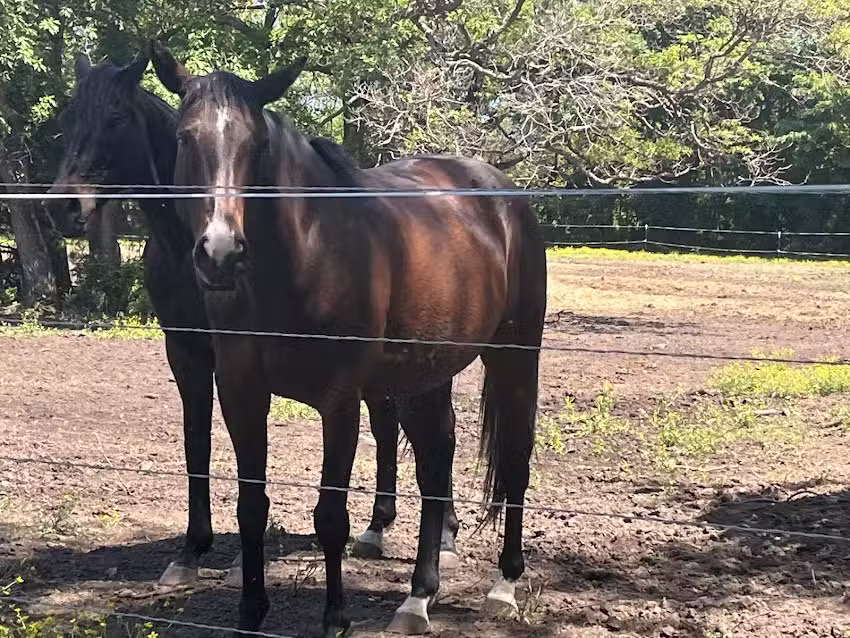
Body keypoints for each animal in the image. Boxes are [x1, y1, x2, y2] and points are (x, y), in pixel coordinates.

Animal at [46, 49, 459, 589]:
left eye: (114, 119)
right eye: (68, 118)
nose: (62, 207)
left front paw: (241, 559)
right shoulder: (186, 350)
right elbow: (196, 441)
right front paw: (191, 551)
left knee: (440, 433)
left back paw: (444, 534)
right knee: (389, 424)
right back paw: (377, 527)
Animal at [150, 40, 547, 638]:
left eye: (257, 144)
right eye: (183, 137)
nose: (220, 252)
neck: (305, 256)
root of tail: (503, 194)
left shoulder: (339, 402)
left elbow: (330, 515)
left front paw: (335, 617)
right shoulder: (242, 393)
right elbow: (251, 507)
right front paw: (250, 613)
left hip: (516, 359)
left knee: (516, 459)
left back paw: (503, 585)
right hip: (426, 374)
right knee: (435, 463)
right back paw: (418, 597)